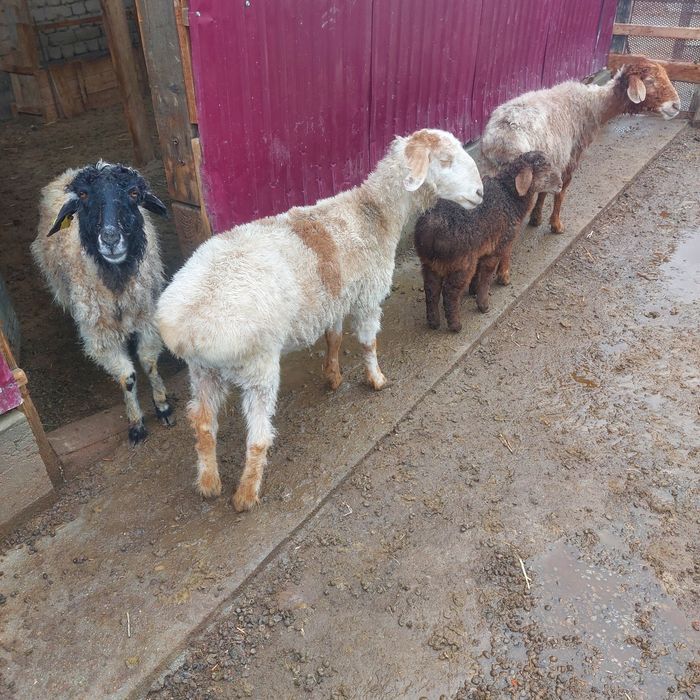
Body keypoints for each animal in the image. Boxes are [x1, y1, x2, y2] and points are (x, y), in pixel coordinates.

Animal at [31, 161, 175, 445]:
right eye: (84, 196)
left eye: (134, 193)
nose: (110, 239)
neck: (116, 283)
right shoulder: (100, 335)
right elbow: (127, 377)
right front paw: (136, 424)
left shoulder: (147, 318)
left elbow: (149, 363)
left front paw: (163, 406)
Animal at [156, 128, 484, 512]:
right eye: (445, 161)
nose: (480, 193)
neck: (373, 213)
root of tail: (186, 329)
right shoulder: (368, 296)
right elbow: (368, 343)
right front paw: (376, 379)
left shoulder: (336, 297)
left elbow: (334, 338)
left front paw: (333, 376)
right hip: (257, 366)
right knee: (258, 438)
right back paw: (246, 495)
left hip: (202, 371)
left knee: (203, 423)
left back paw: (209, 482)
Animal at [414, 151, 561, 333]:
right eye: (545, 172)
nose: (561, 184)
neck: (509, 196)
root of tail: (432, 230)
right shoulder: (497, 247)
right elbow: (486, 275)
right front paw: (483, 304)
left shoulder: (482, 247)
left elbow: (478, 273)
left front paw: (473, 290)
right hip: (461, 262)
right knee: (450, 292)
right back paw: (456, 325)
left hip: (430, 262)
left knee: (431, 289)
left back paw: (433, 322)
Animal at [481, 56, 680, 235]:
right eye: (650, 80)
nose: (676, 106)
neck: (594, 106)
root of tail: (501, 139)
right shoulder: (571, 158)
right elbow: (560, 193)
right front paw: (556, 225)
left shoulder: (553, 161)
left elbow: (544, 192)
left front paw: (536, 218)